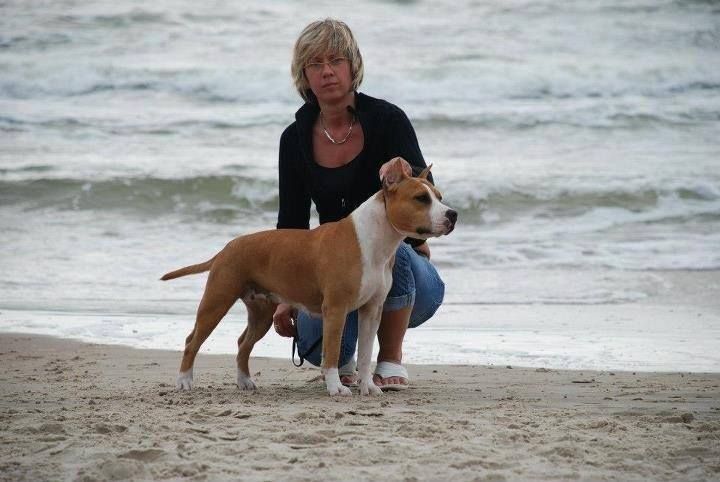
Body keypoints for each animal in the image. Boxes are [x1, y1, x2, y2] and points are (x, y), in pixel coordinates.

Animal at [161, 157, 457, 396]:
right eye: (421, 198)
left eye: (439, 197)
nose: (453, 214)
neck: (376, 241)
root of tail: (226, 248)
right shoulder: (335, 310)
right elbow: (333, 352)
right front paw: (336, 388)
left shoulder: (372, 310)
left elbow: (365, 354)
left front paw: (368, 387)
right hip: (217, 301)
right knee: (192, 341)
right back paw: (184, 381)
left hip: (261, 314)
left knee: (243, 343)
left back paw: (245, 381)